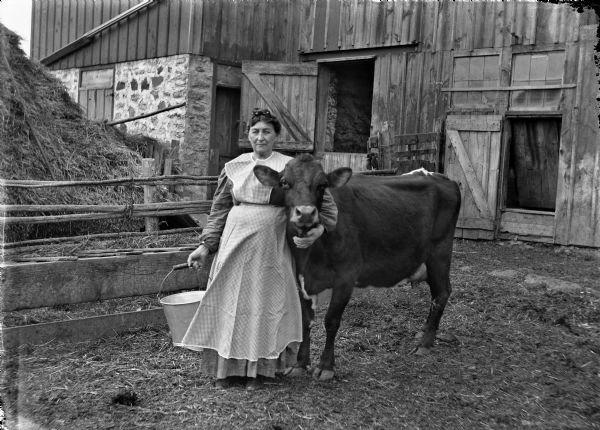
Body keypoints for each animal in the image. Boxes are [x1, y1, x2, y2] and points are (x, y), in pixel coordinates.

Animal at [253, 154, 460, 380]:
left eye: (322, 185)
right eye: (284, 182)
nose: (306, 213)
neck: (310, 256)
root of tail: (441, 177)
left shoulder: (346, 275)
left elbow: (331, 321)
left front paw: (326, 366)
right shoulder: (299, 277)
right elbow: (306, 321)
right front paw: (300, 363)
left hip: (439, 253)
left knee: (442, 293)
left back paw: (424, 344)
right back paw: (423, 333)